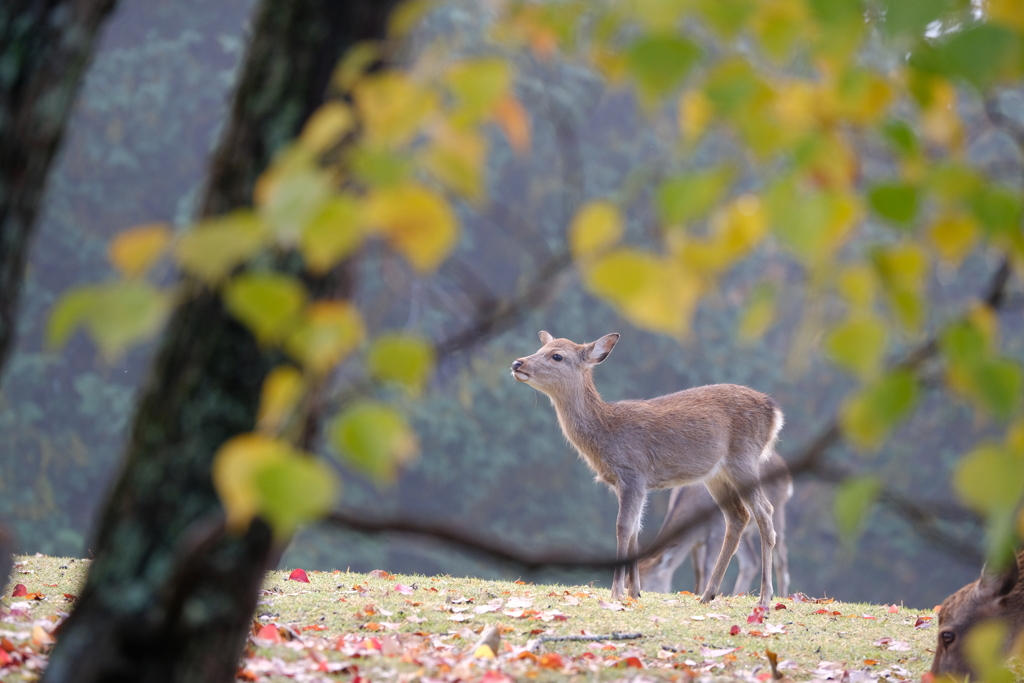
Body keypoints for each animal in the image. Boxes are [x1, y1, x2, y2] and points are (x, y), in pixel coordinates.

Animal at [638, 450, 790, 602]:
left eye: (646, 585)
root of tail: (785, 472)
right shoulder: (697, 542)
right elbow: (698, 569)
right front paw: (697, 592)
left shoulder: (718, 529)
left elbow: (707, 566)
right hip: (747, 533)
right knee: (751, 562)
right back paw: (738, 594)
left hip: (779, 508)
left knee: (781, 555)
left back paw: (779, 596)